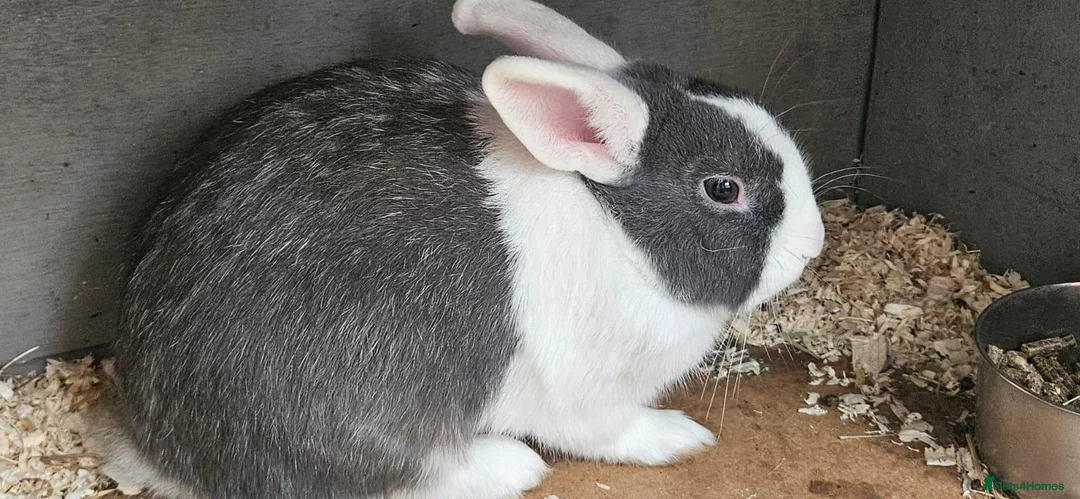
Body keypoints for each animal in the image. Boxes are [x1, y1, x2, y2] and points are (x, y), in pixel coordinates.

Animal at [88, 0, 826, 498]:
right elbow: (612, 433)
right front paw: (681, 438)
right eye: (722, 188)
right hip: (366, 421)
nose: (814, 244)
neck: (616, 231)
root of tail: (155, 446)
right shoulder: (585, 394)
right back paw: (509, 465)